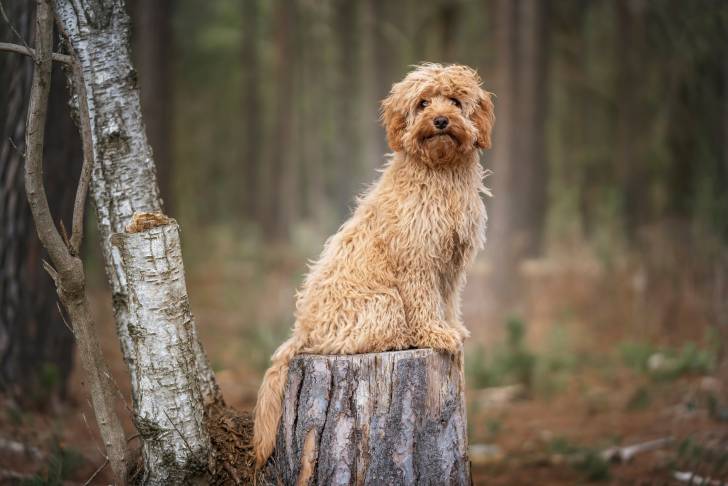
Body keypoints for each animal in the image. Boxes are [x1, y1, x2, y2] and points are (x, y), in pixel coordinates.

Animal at [250, 61, 494, 468]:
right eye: (423, 102)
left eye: (456, 101)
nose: (441, 120)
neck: (440, 173)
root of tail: (302, 332)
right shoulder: (417, 258)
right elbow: (425, 301)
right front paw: (435, 333)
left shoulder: (451, 263)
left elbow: (448, 300)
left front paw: (453, 329)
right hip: (384, 302)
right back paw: (402, 337)